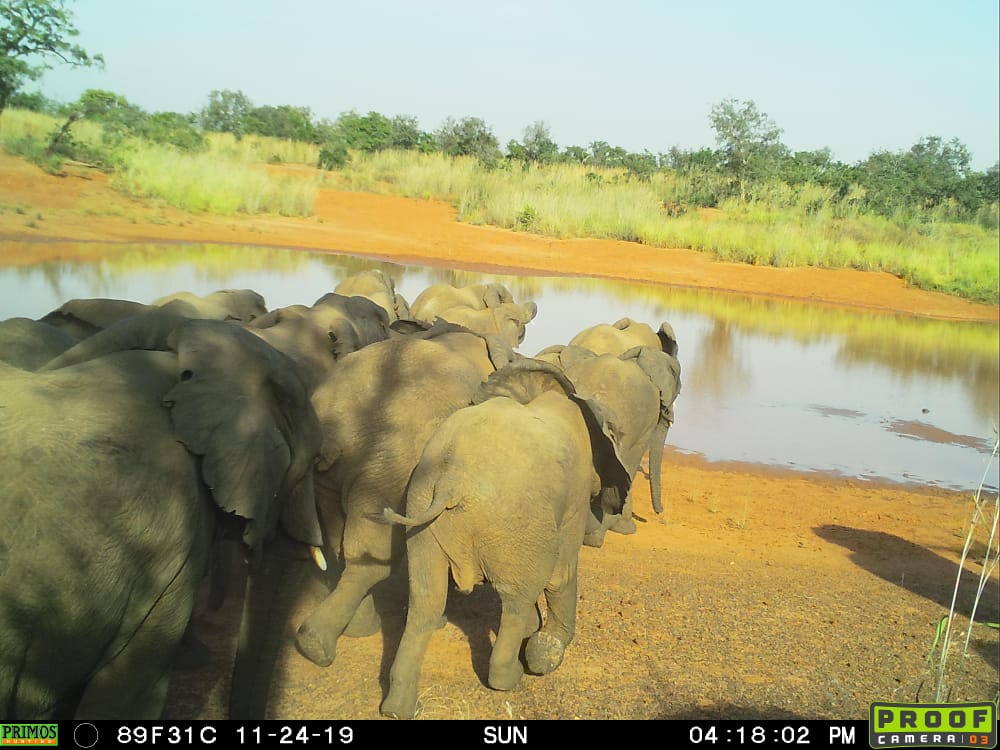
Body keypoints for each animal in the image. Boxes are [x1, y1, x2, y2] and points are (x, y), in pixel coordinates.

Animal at [291, 321, 516, 672]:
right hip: (390, 469)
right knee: (373, 557)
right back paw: (318, 644)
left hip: (340, 475)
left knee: (342, 546)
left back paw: (344, 633)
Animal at [378, 358, 631, 719]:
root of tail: (451, 479)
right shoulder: (577, 492)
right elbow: (561, 573)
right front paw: (544, 652)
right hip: (516, 524)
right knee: (514, 601)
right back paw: (511, 676)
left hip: (423, 514)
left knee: (425, 603)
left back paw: (400, 708)